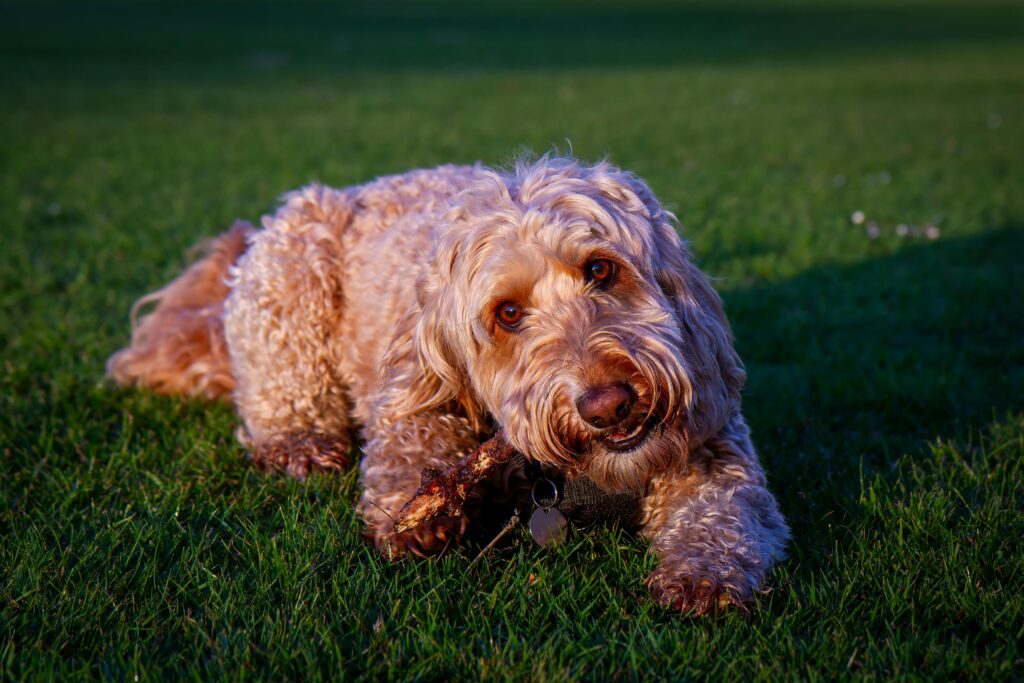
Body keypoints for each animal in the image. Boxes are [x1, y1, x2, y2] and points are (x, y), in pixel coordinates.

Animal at [105, 156, 790, 614]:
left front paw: (705, 570)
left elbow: (725, 503)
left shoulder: (713, 438)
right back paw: (297, 441)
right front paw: (417, 509)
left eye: (601, 269)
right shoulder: (410, 388)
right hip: (291, 264)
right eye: (507, 313)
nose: (608, 404)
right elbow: (408, 444)